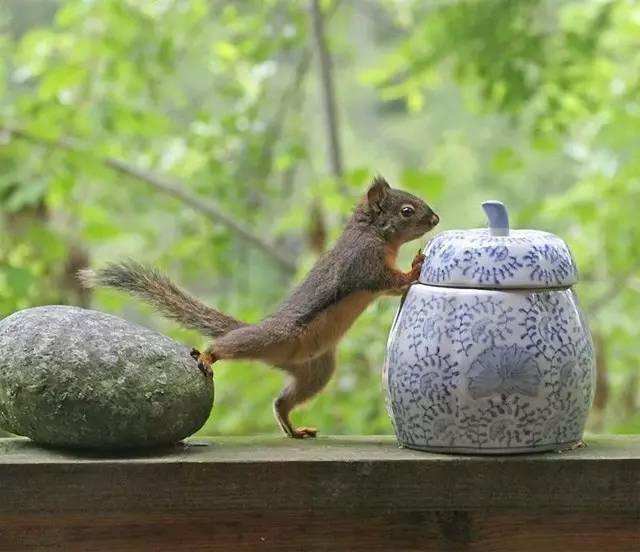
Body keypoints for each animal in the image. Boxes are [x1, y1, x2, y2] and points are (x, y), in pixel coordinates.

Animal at [80, 179, 438, 438]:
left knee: (281, 402)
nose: (435, 219)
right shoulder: (364, 263)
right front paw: (415, 268)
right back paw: (208, 356)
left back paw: (293, 427)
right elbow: (390, 280)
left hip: (316, 371)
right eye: (407, 210)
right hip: (269, 337)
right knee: (227, 346)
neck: (373, 233)